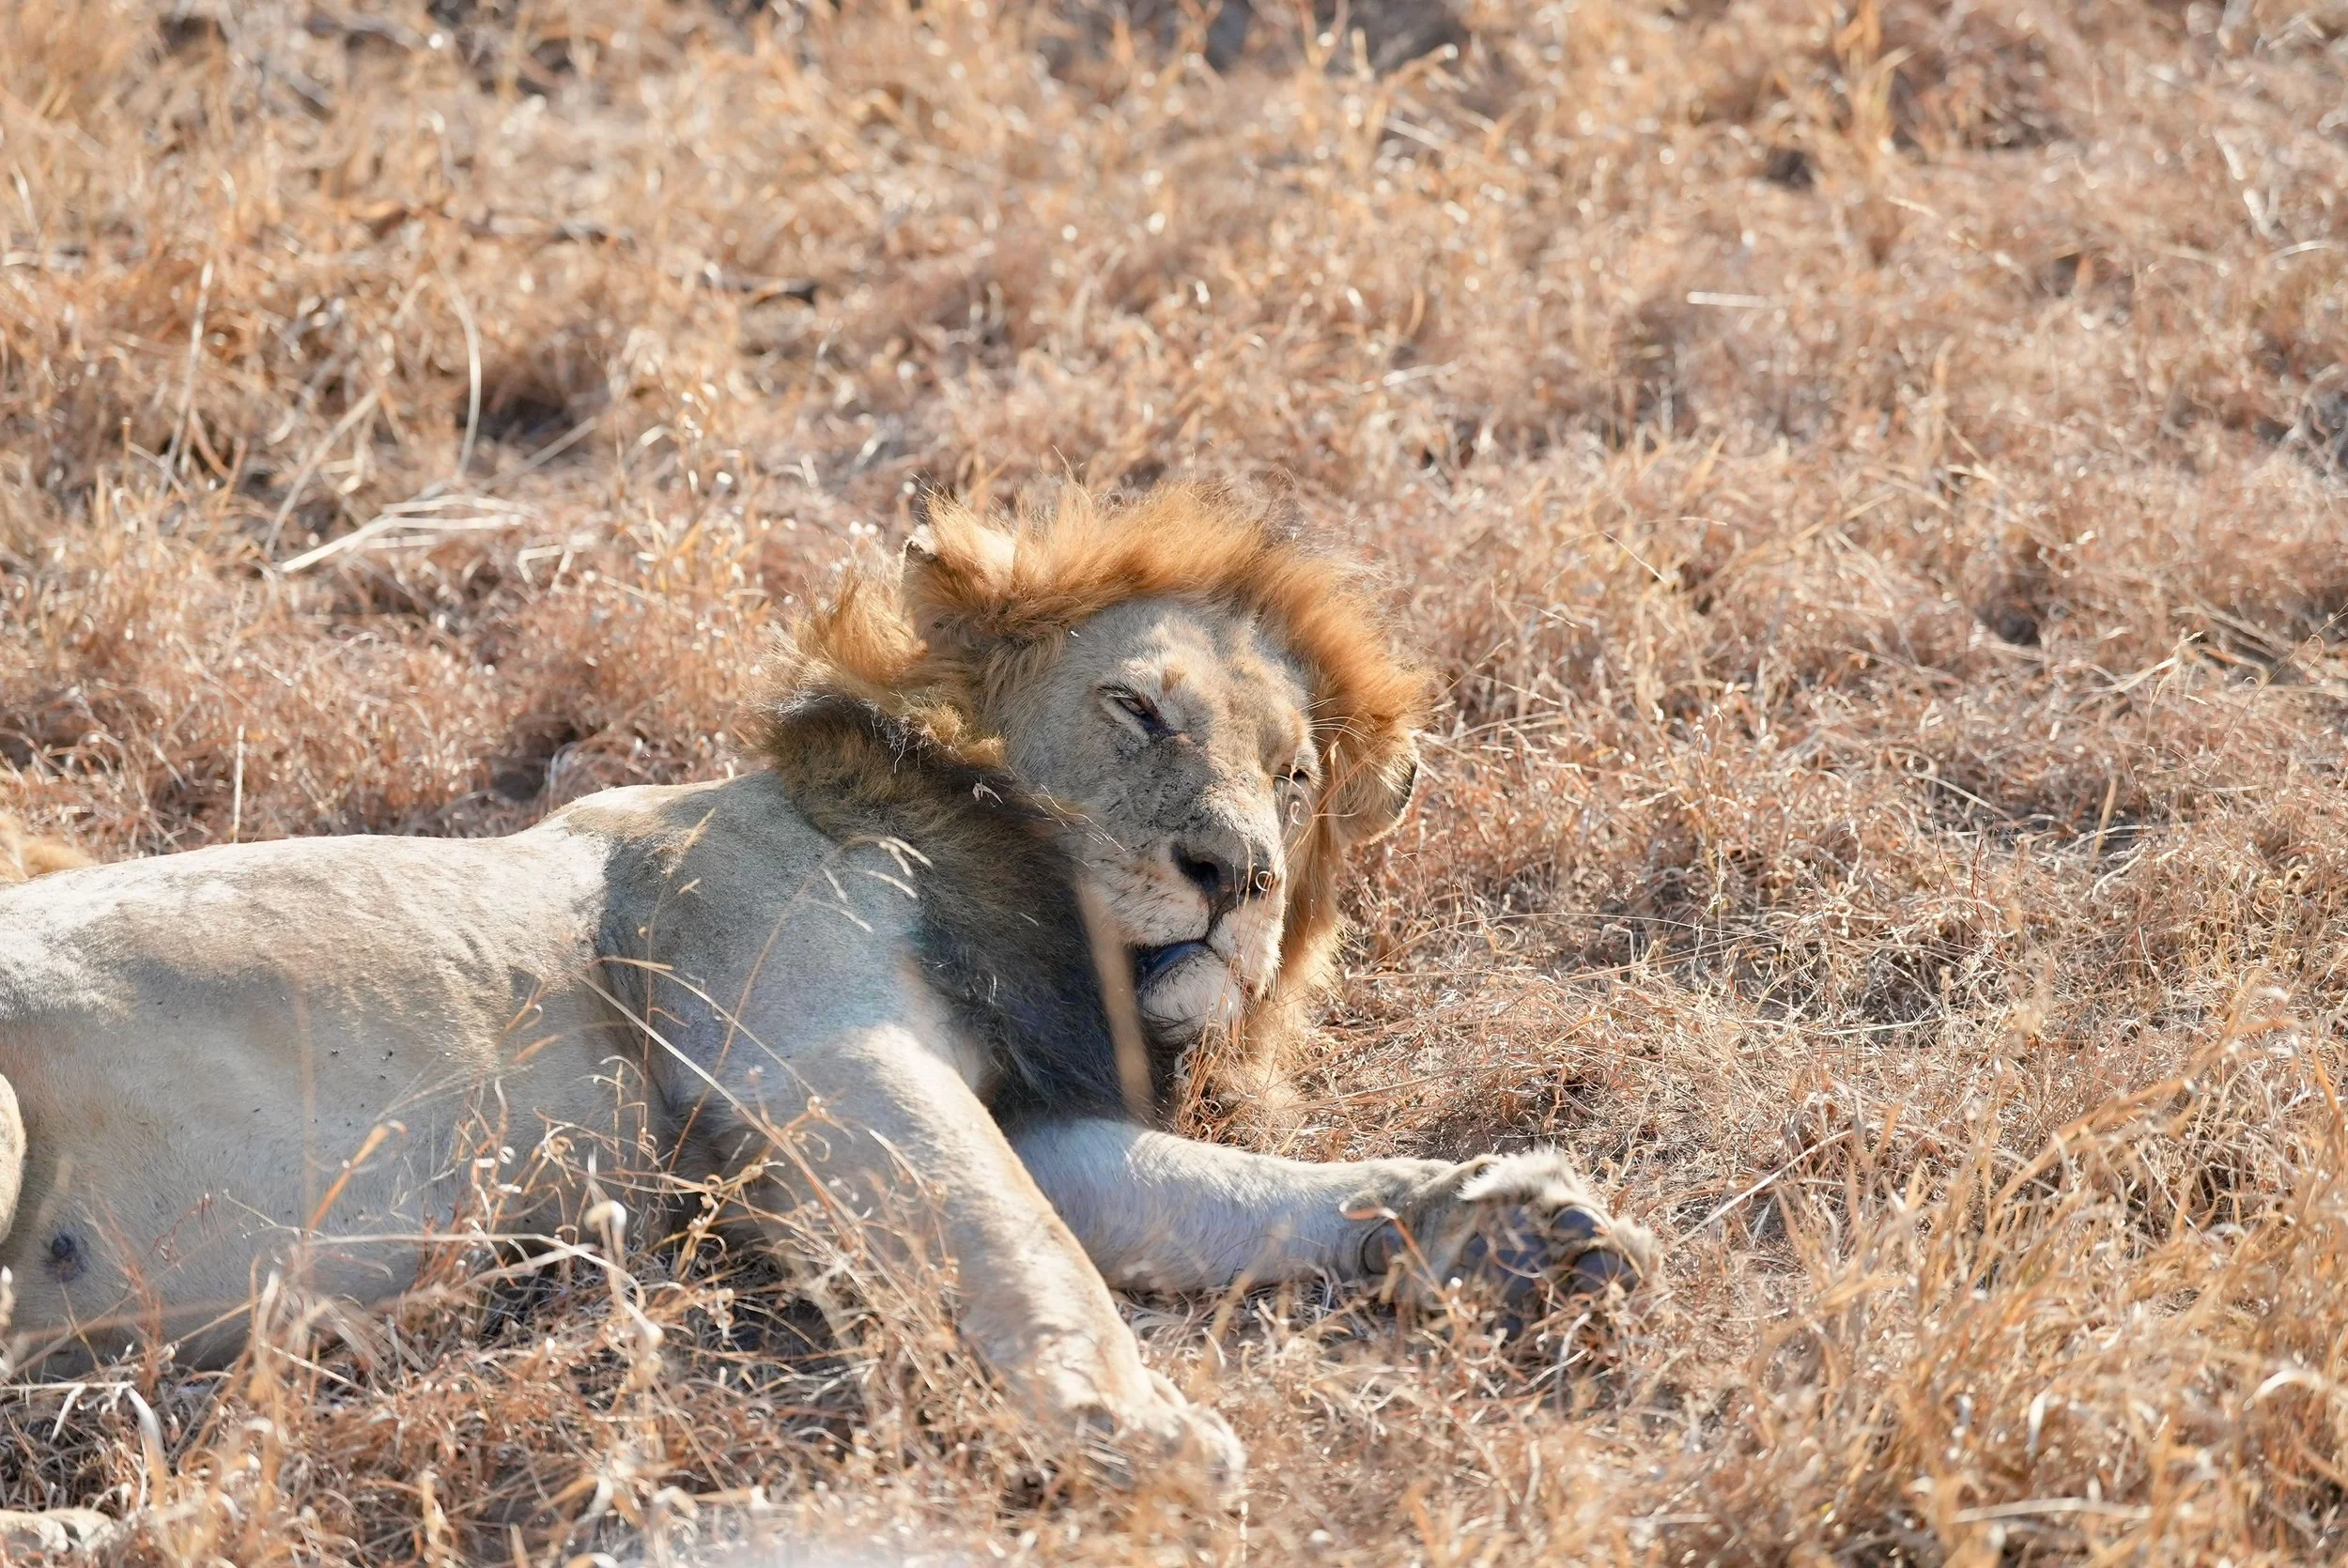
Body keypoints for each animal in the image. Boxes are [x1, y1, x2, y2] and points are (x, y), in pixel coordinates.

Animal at [0, 482, 1651, 1530]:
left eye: (1295, 775)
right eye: (1138, 710)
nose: (1236, 874)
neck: (1035, 913)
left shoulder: (1032, 1110)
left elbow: (1223, 1193)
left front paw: (1508, 1219)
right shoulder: (817, 1039)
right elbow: (1022, 1245)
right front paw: (1136, 1431)